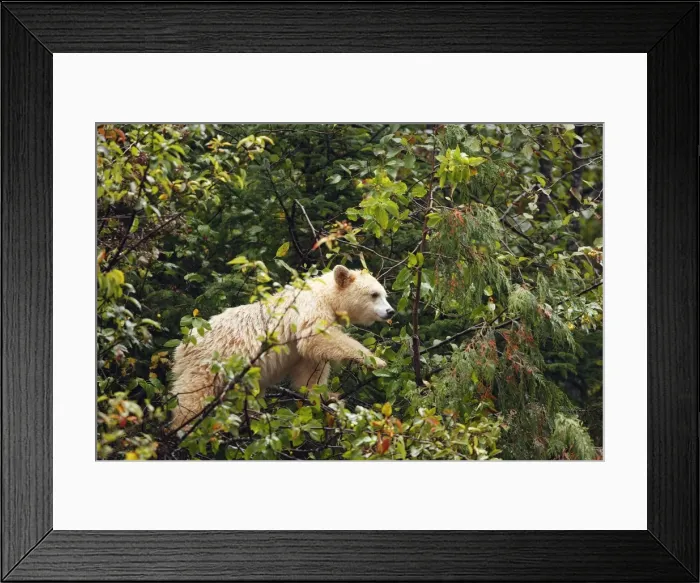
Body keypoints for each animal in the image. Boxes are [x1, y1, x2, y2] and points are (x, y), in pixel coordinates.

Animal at [168, 265, 394, 429]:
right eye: (374, 294)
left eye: (384, 294)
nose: (390, 311)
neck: (325, 295)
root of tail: (181, 348)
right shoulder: (310, 309)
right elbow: (317, 338)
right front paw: (377, 361)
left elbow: (310, 369)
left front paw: (327, 396)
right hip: (210, 362)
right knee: (193, 396)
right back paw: (184, 427)